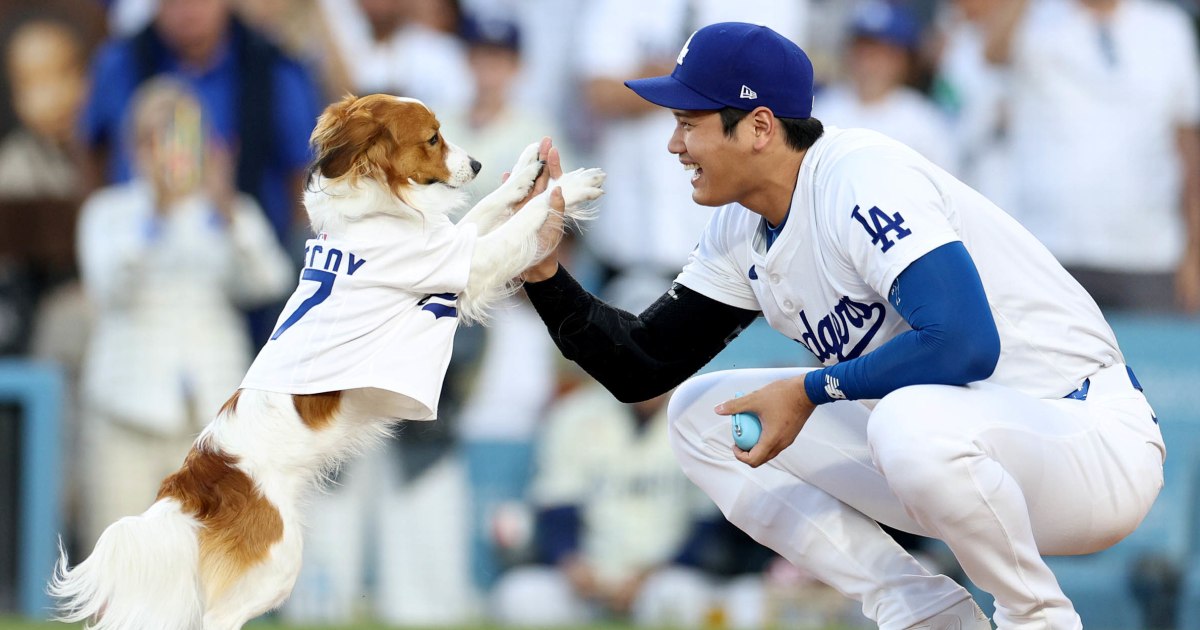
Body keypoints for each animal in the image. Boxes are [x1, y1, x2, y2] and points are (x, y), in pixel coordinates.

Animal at [51, 93, 604, 628]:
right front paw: (570, 187)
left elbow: (487, 209)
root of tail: (192, 486)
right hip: (276, 566)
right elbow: (522, 222)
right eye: (432, 138)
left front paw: (529, 170)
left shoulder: (449, 244)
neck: (372, 212)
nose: (476, 163)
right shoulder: (461, 264)